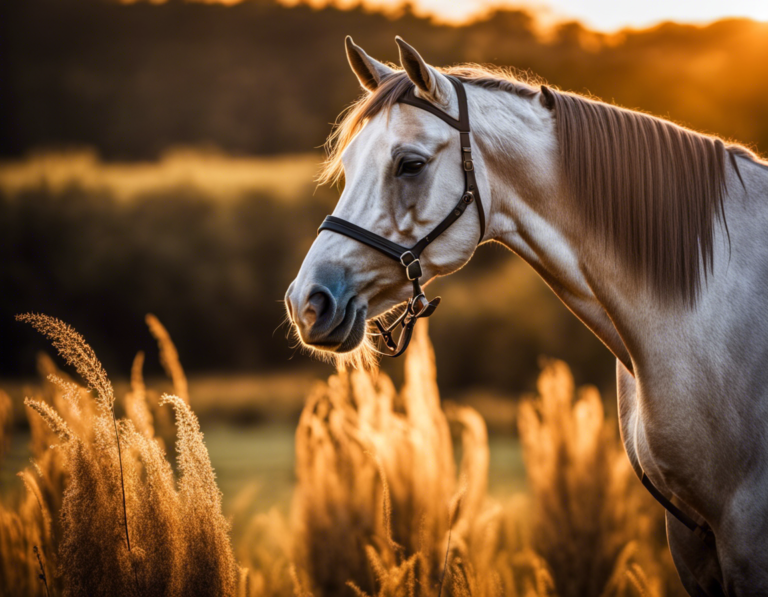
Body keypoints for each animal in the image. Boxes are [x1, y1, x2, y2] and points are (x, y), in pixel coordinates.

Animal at [284, 38, 768, 596]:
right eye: (349, 162)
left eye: (410, 164)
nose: (308, 301)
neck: (705, 313)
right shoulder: (692, 543)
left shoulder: (747, 539)